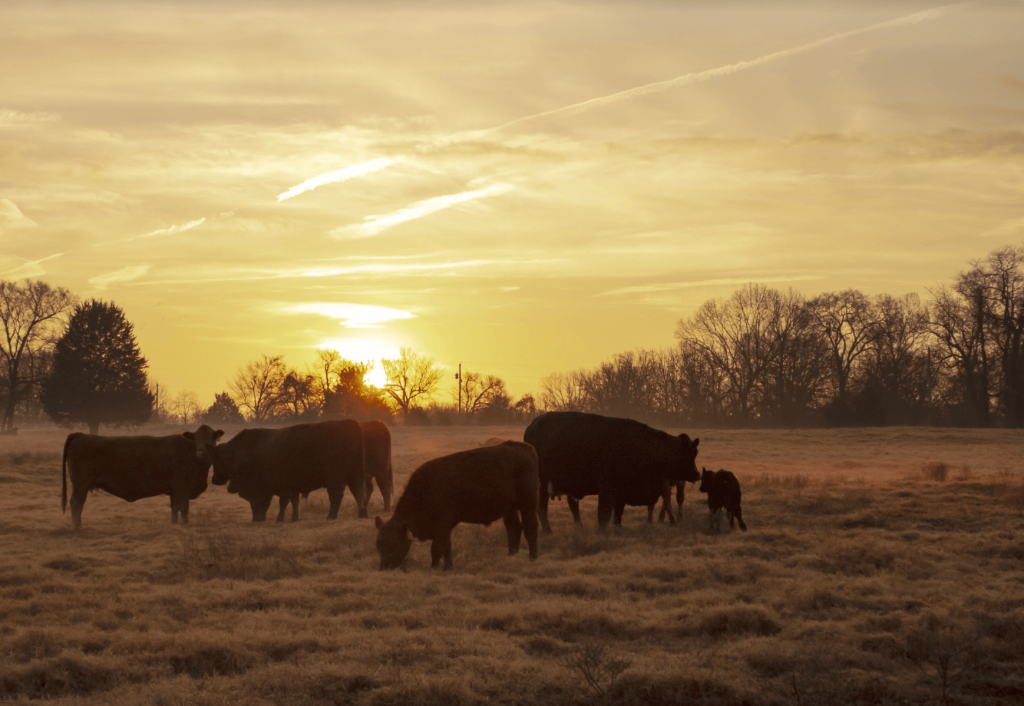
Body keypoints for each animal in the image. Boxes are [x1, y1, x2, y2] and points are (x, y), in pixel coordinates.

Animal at [61, 424, 224, 528]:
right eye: (196, 440)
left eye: (211, 439)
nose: (200, 453)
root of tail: (81, 435)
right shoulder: (182, 487)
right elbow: (183, 508)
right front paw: (185, 525)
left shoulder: (175, 490)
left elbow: (174, 508)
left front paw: (173, 524)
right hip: (81, 485)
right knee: (76, 503)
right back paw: (77, 527)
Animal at [209, 418, 366, 522]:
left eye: (217, 459)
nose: (214, 480)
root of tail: (351, 423)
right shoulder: (288, 487)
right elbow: (289, 502)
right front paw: (290, 518)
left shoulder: (271, 487)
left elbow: (274, 502)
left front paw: (275, 519)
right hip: (355, 476)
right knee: (359, 493)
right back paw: (363, 514)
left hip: (336, 479)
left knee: (337, 497)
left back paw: (331, 517)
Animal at [374, 438, 536, 569]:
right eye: (378, 544)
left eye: (394, 544)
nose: (384, 567)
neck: (426, 489)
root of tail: (525, 448)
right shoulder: (445, 528)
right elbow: (447, 549)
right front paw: (448, 568)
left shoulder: (442, 526)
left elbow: (436, 549)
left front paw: (433, 568)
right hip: (510, 509)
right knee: (514, 528)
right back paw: (511, 555)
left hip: (527, 504)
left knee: (530, 526)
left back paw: (532, 558)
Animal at [524, 409, 700, 532]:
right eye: (689, 454)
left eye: (695, 453)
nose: (697, 474)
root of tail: (533, 426)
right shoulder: (607, 489)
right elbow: (604, 515)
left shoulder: (622, 492)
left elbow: (618, 514)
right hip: (542, 485)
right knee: (542, 509)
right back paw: (548, 531)